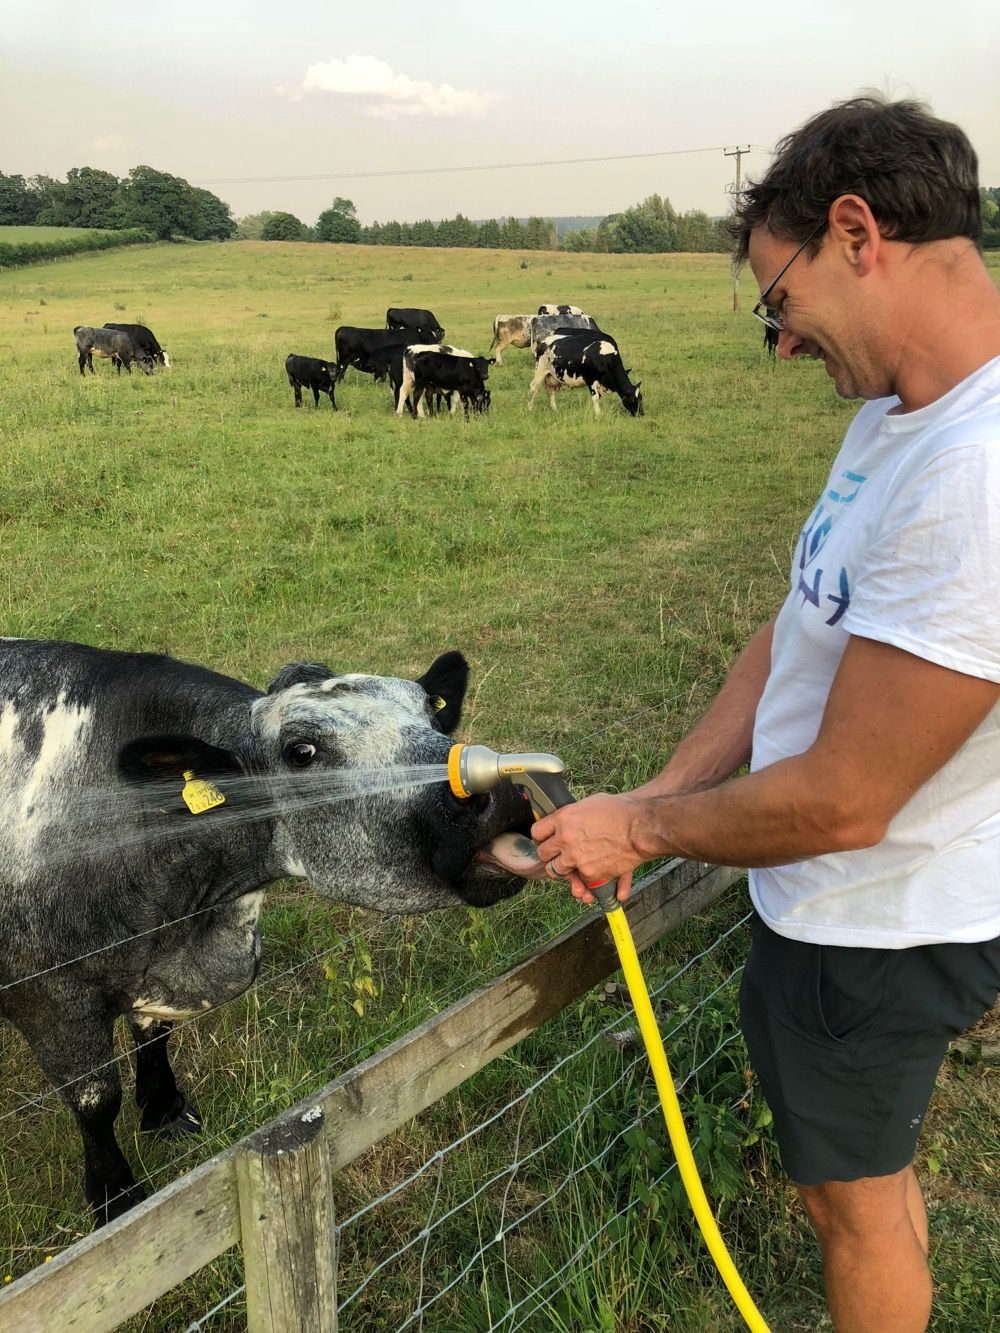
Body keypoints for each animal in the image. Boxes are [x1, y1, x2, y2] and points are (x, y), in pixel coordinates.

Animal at [0, 634, 541, 1226]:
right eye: (301, 752)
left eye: (430, 713)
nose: (502, 791)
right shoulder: (53, 999)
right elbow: (97, 1101)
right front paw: (113, 1196)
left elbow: (153, 1032)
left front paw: (164, 1110)